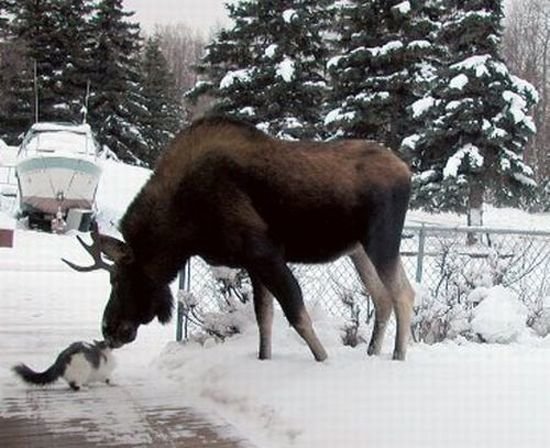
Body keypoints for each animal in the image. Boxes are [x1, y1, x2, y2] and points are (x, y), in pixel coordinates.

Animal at [62, 115, 416, 360]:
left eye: (118, 279)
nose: (108, 329)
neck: (185, 228)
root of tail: (407, 171)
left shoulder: (265, 253)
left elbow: (297, 315)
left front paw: (324, 360)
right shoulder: (253, 264)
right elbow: (264, 321)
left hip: (381, 241)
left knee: (403, 294)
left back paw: (398, 356)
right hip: (358, 250)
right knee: (382, 297)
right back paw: (372, 353)